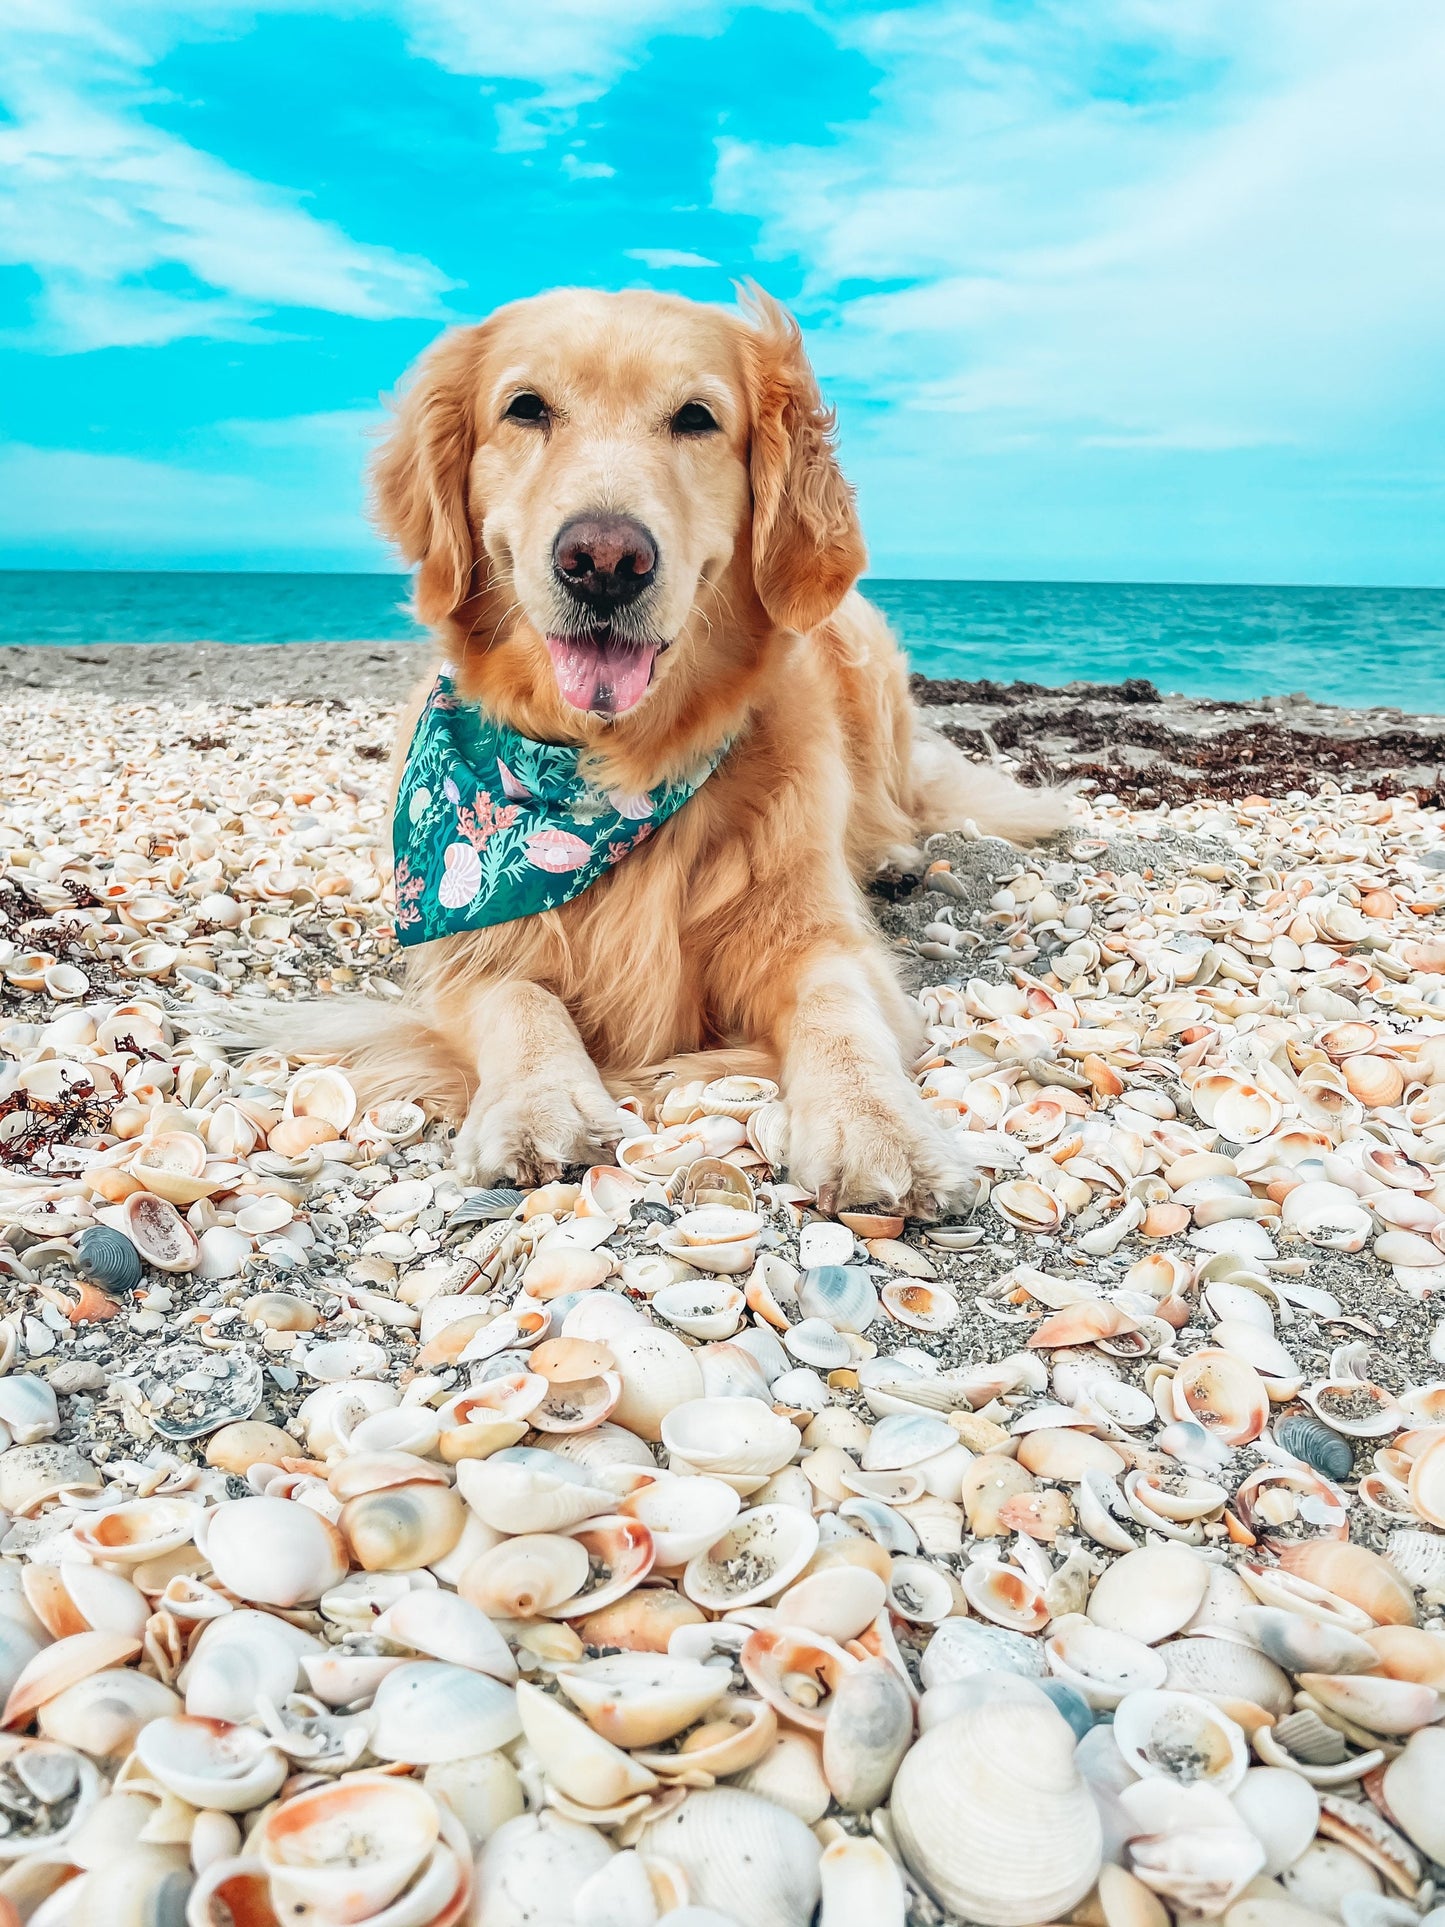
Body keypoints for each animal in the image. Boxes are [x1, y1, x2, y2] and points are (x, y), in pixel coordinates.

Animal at [285, 283, 1078, 1202]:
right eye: (526, 408)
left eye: (696, 418)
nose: (602, 560)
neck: (608, 767)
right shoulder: (461, 939)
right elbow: (518, 1000)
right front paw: (536, 1103)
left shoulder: (816, 939)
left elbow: (837, 1010)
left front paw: (876, 1128)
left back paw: (891, 856)